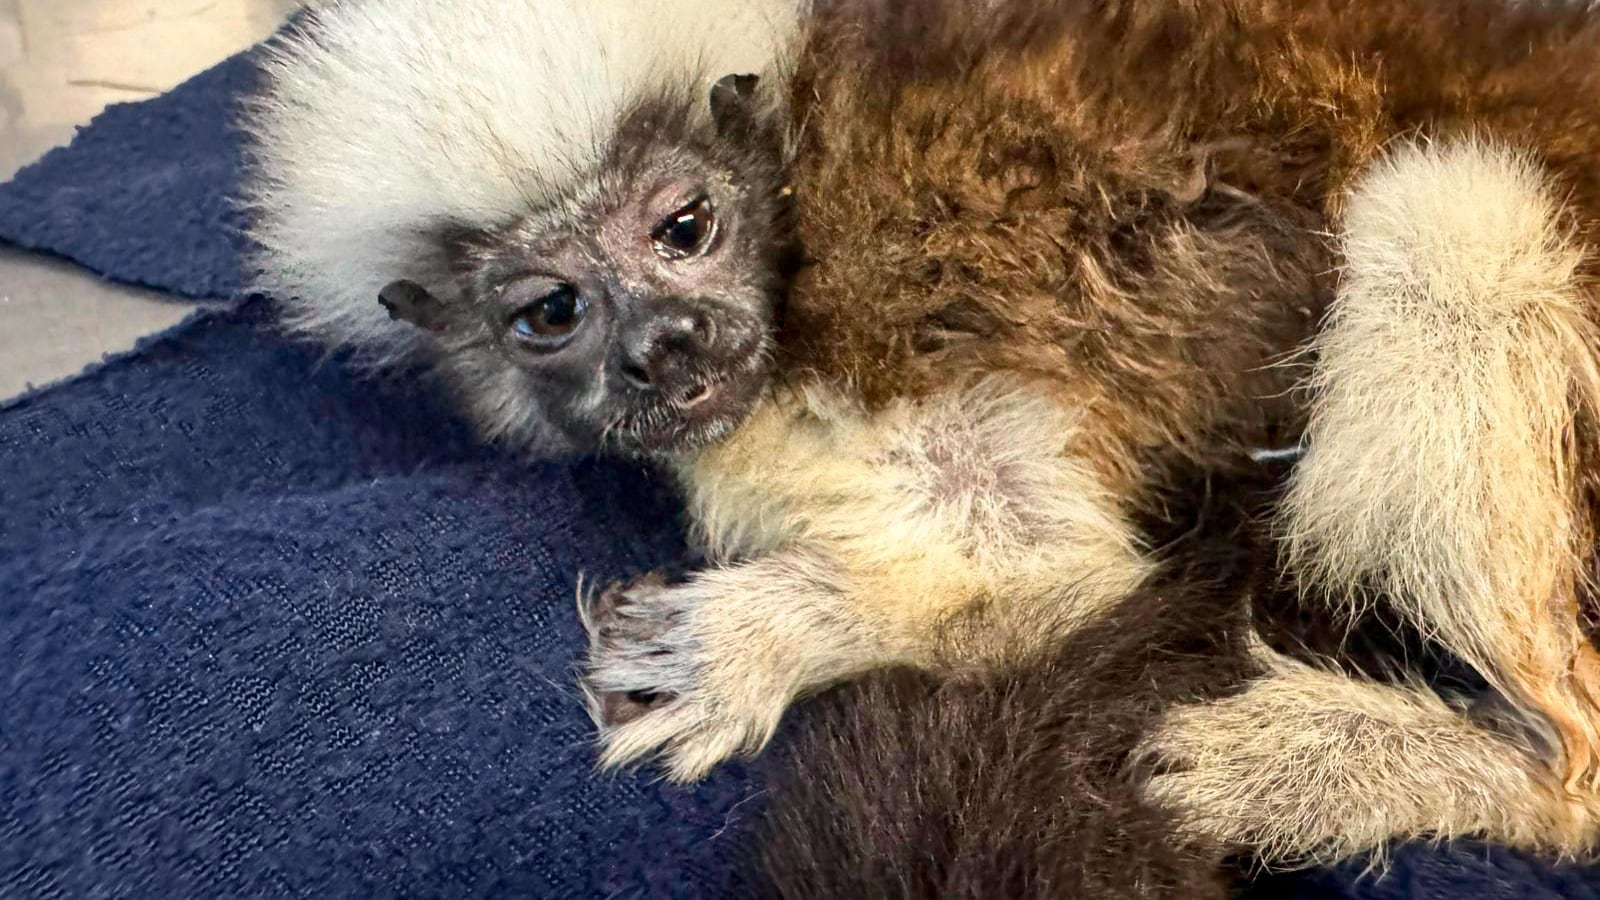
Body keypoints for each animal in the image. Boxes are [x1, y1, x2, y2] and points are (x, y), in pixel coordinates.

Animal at [241, 0, 1600, 876]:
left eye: (683, 229)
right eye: (551, 313)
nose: (665, 350)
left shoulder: (897, 302)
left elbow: (1061, 568)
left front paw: (764, 635)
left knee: (1451, 213)